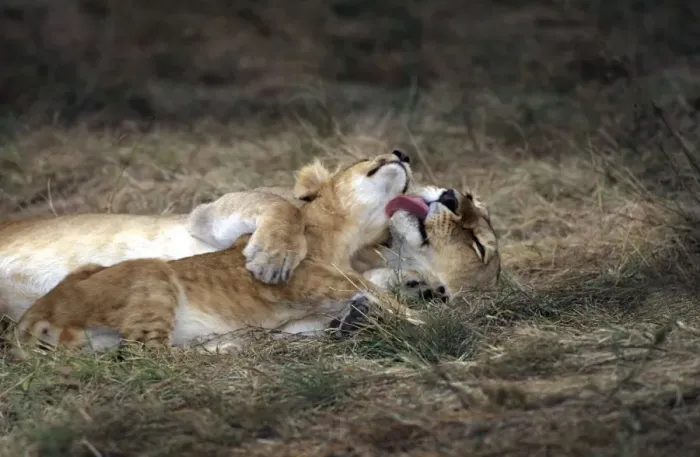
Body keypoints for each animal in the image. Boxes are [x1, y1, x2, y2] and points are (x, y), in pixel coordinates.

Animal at [11, 151, 427, 354]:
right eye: (366, 157)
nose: (403, 153)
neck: (345, 242)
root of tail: (33, 317)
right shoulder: (315, 282)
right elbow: (378, 295)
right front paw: (428, 318)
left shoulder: (306, 313)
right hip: (153, 273)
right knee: (146, 354)